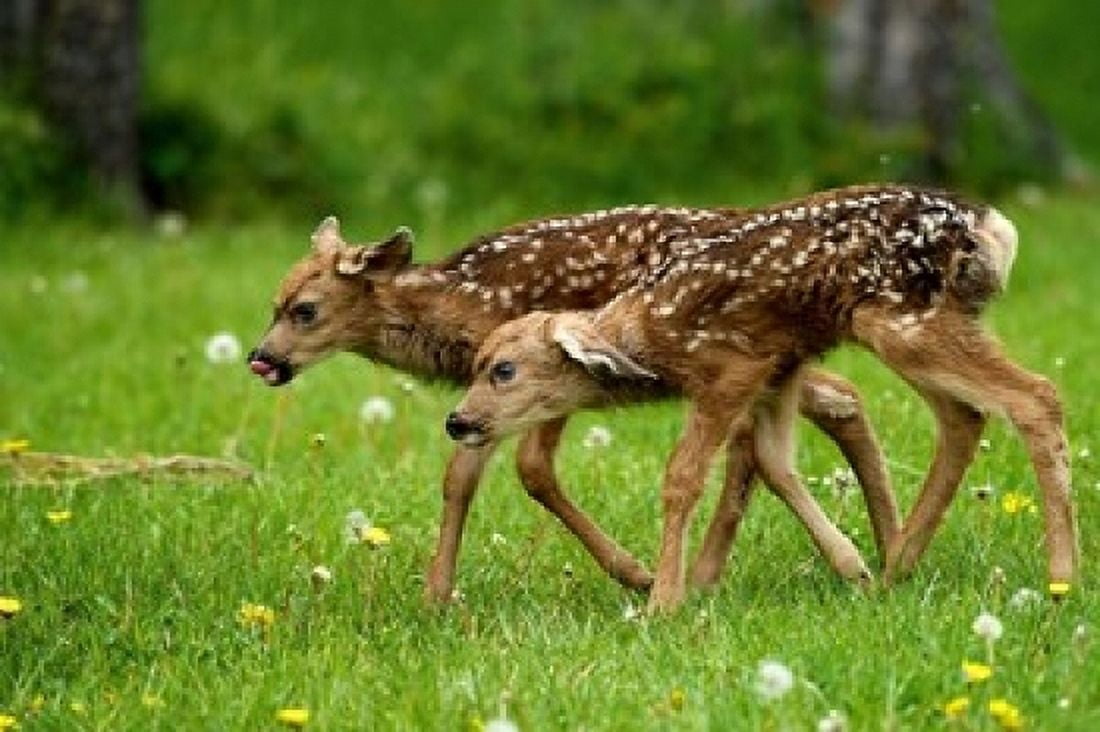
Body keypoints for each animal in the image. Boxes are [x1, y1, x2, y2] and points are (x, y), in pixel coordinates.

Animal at [247, 201, 901, 603]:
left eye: (305, 310)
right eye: (273, 304)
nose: (261, 357)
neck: (462, 302)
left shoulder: (545, 380)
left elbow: (532, 469)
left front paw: (636, 573)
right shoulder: (494, 399)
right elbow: (459, 477)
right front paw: (435, 597)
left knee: (819, 405)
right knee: (839, 399)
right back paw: (885, 548)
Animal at [448, 184, 1077, 613]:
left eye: (503, 370)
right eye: (474, 365)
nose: (457, 421)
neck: (649, 332)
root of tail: (993, 225)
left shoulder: (731, 370)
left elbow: (681, 476)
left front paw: (663, 602)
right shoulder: (780, 365)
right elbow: (775, 462)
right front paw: (851, 567)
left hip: (901, 320)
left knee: (1033, 396)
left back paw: (1061, 577)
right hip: (915, 324)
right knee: (965, 413)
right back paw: (896, 564)